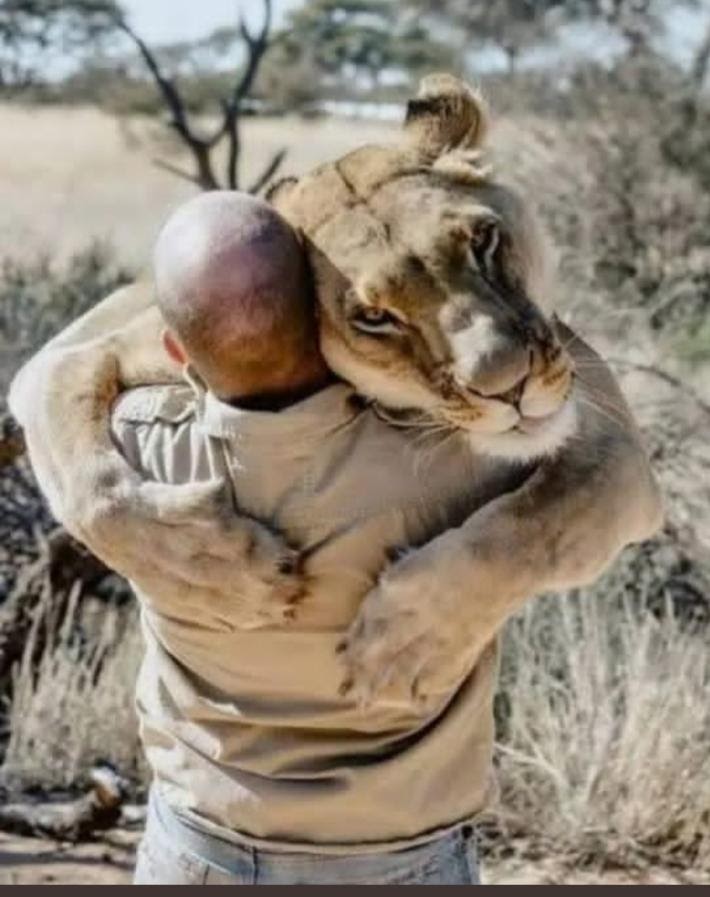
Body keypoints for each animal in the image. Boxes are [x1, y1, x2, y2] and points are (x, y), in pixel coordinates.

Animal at [9, 74, 661, 702]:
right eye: (375, 317)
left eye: (483, 242)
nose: (508, 385)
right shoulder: (76, 353)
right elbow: (94, 485)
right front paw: (218, 572)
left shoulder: (608, 434)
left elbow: (547, 519)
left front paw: (412, 633)